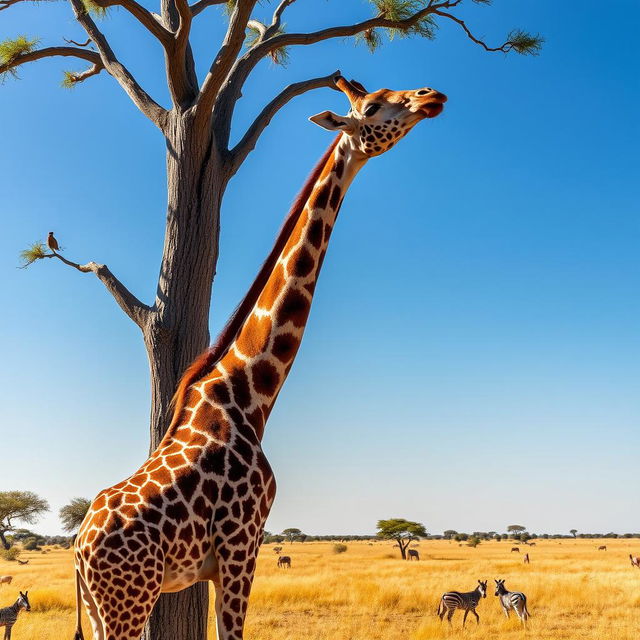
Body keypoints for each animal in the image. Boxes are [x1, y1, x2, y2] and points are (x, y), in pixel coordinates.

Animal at [72, 76, 448, 640]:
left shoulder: (227, 557)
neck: (248, 396)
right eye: (373, 108)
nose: (431, 97)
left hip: (101, 609)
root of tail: (76, 548)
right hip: (128, 601)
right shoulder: (241, 545)